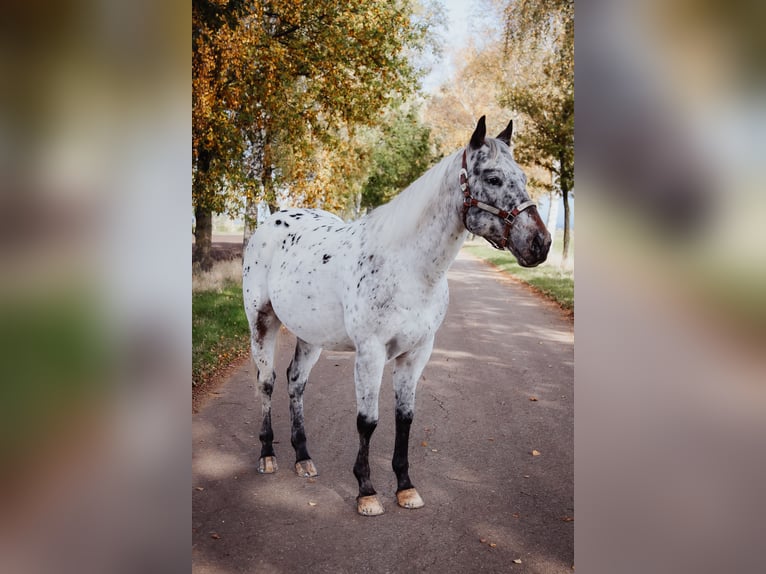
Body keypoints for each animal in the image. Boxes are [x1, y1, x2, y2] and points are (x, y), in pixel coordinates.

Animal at [243, 117, 548, 516]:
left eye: (524, 177)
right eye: (494, 178)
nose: (541, 243)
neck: (408, 267)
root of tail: (271, 220)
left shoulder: (416, 353)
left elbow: (404, 419)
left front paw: (405, 487)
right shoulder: (371, 353)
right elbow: (368, 421)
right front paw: (367, 491)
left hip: (310, 335)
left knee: (296, 382)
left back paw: (303, 458)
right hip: (262, 321)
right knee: (267, 382)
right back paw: (267, 455)